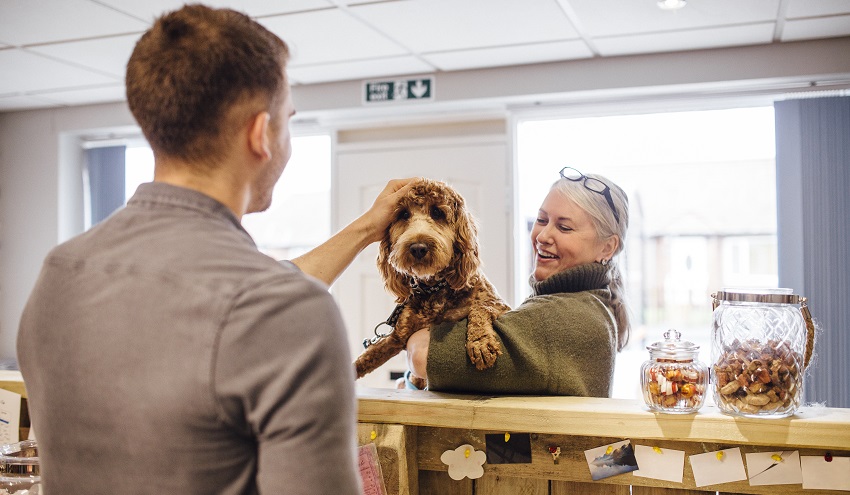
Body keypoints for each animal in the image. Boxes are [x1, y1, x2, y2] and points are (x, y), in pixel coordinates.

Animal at [352, 176, 506, 390]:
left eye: (437, 212)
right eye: (403, 214)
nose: (418, 247)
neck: (434, 287)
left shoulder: (501, 305)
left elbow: (481, 307)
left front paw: (480, 343)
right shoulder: (398, 337)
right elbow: (366, 357)